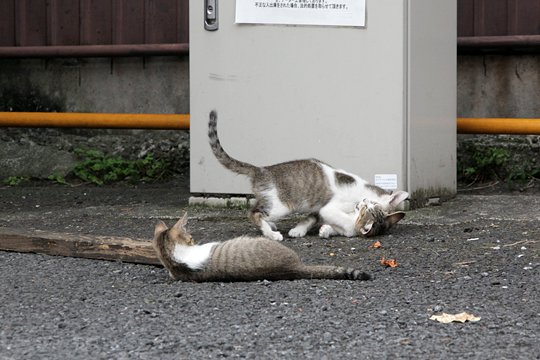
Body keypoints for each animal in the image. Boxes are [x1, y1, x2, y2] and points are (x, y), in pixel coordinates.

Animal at [209, 109, 408, 239]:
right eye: (368, 205)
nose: (364, 202)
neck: (363, 192)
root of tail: (261, 169)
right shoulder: (330, 207)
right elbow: (342, 219)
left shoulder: (318, 209)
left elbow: (311, 218)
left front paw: (300, 230)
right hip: (281, 206)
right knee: (253, 214)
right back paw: (272, 234)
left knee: (257, 209)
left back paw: (269, 227)